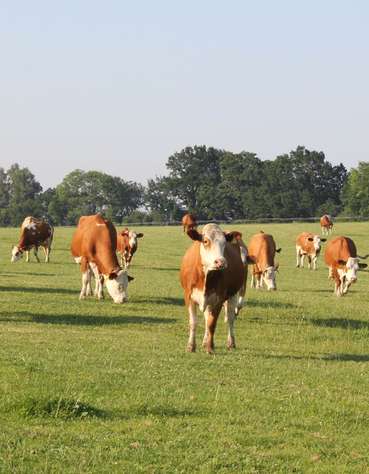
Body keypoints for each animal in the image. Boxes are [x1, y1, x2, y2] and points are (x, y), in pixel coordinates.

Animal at [179, 224, 244, 354]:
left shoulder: (218, 299)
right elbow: (193, 322)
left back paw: (230, 343)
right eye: (205, 241)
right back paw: (204, 342)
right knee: (206, 317)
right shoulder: (188, 296)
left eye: (224, 243)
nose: (220, 262)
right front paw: (191, 346)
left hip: (233, 294)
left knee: (230, 318)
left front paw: (210, 347)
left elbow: (212, 324)